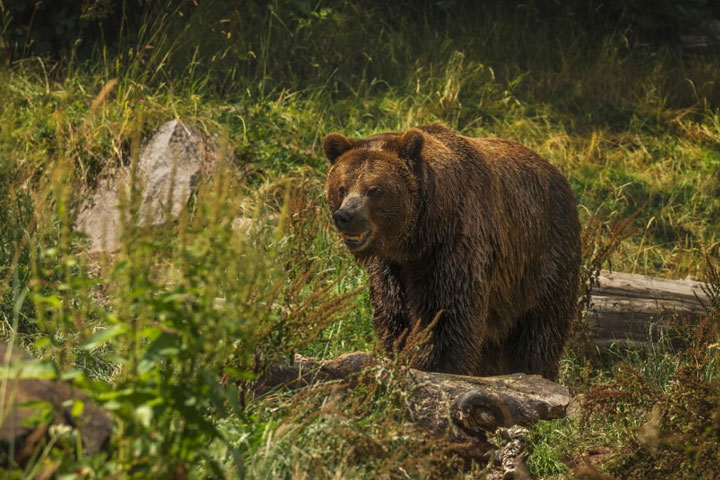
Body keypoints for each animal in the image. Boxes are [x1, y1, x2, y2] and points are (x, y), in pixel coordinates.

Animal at [324, 124, 584, 378]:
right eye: (341, 187)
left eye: (375, 190)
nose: (345, 216)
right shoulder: (392, 266)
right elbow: (392, 312)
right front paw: (397, 351)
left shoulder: (453, 246)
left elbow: (447, 313)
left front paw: (432, 364)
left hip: (543, 259)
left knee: (540, 329)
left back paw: (535, 370)